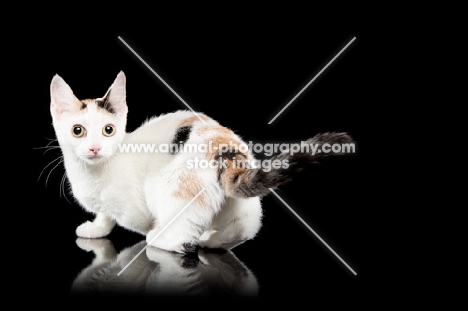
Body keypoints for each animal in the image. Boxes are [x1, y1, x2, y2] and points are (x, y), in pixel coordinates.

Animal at [48, 72, 354, 255]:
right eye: (78, 131)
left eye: (108, 130)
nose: (95, 147)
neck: (92, 172)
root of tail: (225, 147)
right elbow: (105, 215)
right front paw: (96, 228)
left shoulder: (135, 208)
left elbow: (129, 218)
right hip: (240, 205)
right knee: (246, 227)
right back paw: (211, 240)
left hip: (172, 187)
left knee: (180, 234)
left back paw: (163, 238)